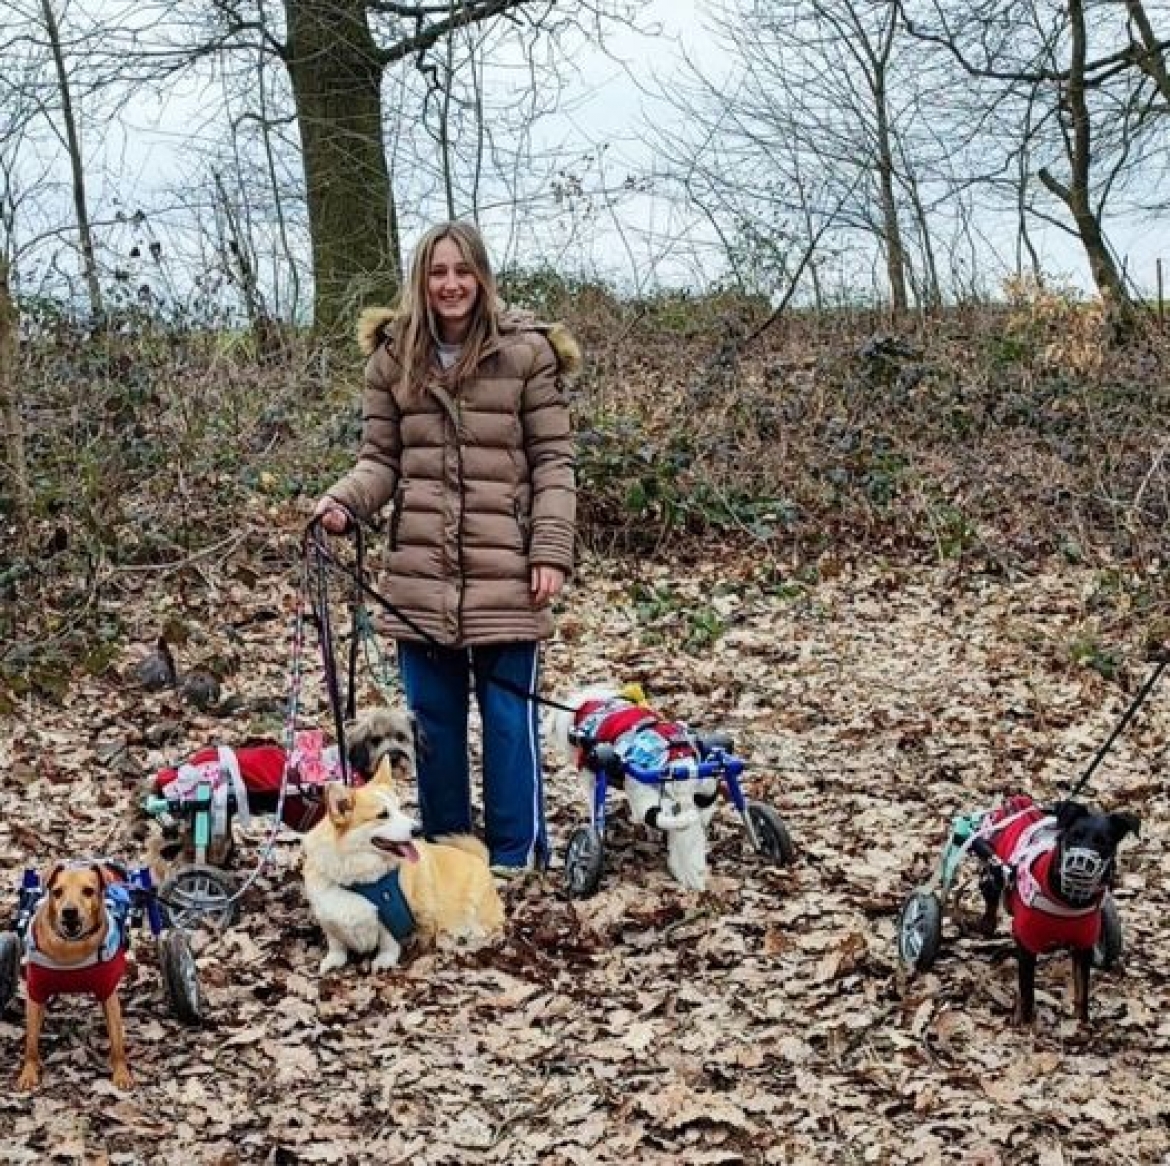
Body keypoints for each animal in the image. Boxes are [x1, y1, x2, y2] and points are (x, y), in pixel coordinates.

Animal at [301, 753, 503, 973]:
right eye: (382, 815)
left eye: (399, 808)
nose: (418, 829)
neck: (358, 882)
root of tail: (479, 859)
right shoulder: (328, 919)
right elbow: (336, 944)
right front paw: (332, 961)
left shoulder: (392, 916)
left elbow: (388, 941)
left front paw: (384, 961)